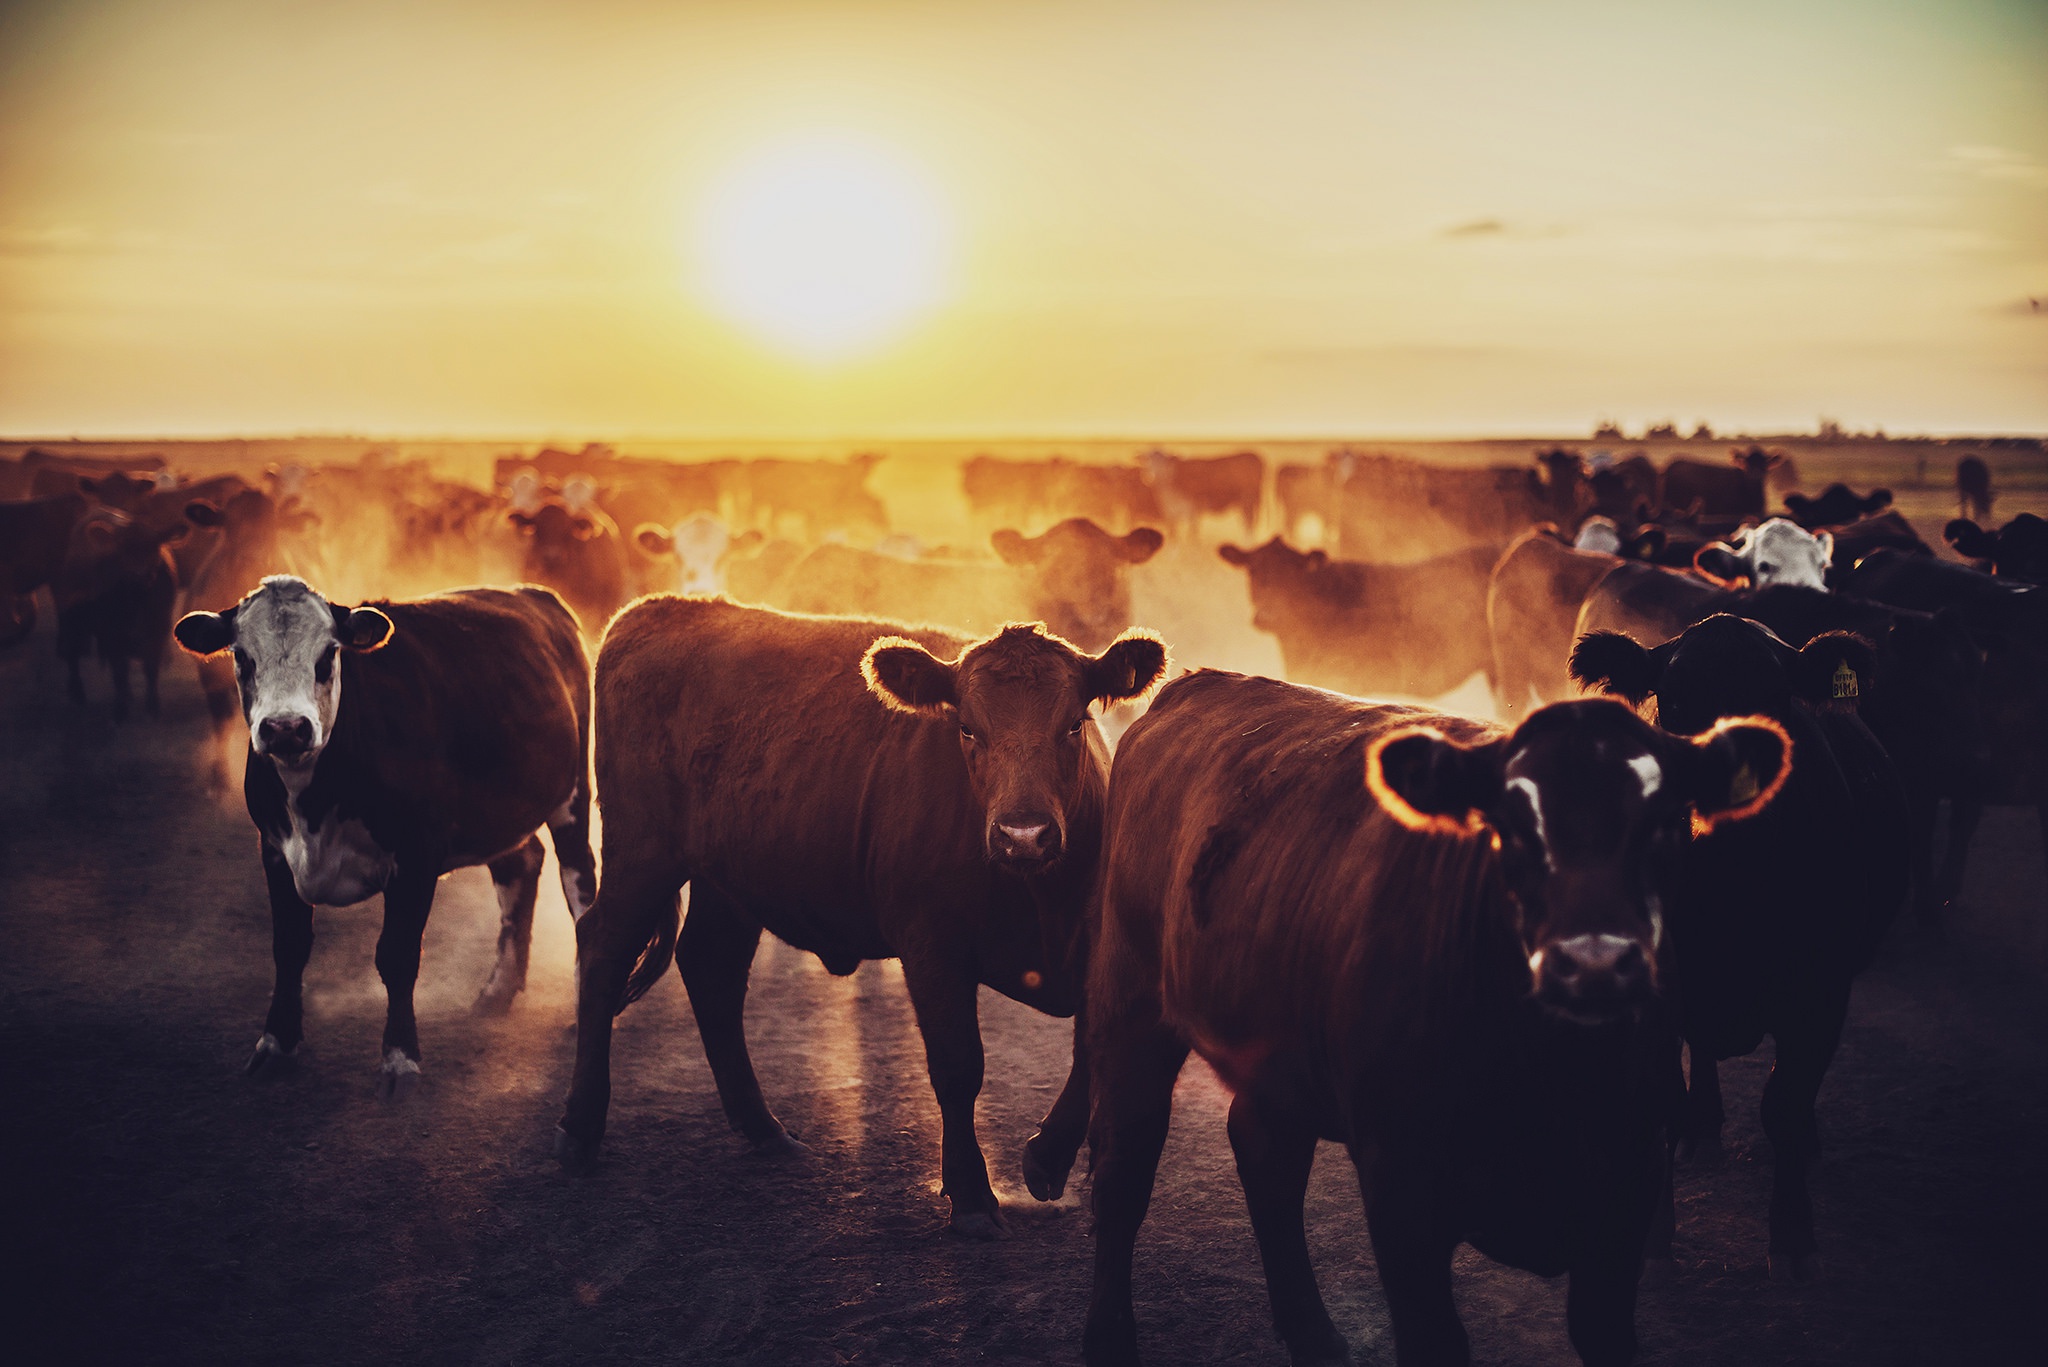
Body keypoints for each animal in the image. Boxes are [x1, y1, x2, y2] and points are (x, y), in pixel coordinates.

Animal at [171, 577, 597, 1095]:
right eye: (242, 657)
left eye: (329, 654)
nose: (286, 728)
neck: (315, 805)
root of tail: (533, 594)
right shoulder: (273, 849)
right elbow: (289, 946)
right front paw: (277, 1042)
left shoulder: (416, 855)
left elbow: (397, 955)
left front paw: (400, 1057)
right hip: (501, 810)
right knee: (520, 868)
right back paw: (496, 992)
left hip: (572, 796)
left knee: (580, 888)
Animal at [554, 600, 1168, 1240]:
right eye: (967, 728)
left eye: (1074, 724)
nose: (1023, 833)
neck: (1040, 897)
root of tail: (658, 609)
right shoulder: (931, 946)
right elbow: (958, 1066)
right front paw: (972, 1196)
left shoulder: (1106, 947)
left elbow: (1091, 1052)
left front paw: (1046, 1161)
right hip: (643, 851)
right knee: (602, 950)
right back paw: (579, 1130)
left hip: (728, 878)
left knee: (710, 968)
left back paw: (765, 1130)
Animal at [1081, 674, 1791, 1366]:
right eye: (1509, 826)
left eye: (1668, 823)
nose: (1593, 964)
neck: (1551, 1077)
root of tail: (1193, 685)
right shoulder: (1401, 1189)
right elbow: (1435, 1340)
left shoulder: (1629, 1180)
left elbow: (1603, 1333)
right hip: (1130, 1001)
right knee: (1125, 1167)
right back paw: (1110, 1338)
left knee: (1265, 1153)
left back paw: (1313, 1335)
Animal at [1571, 616, 1909, 1280]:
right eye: (1673, 705)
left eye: (1776, 706)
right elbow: (1664, 1102)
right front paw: (1654, 1238)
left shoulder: (1821, 992)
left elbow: (1784, 1102)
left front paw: (1793, 1236)